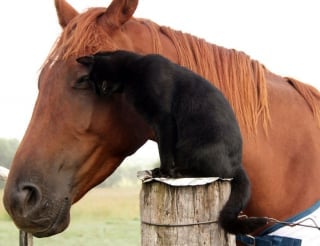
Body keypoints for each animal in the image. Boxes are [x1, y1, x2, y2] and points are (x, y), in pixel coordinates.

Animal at [77, 50, 268, 234]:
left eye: (101, 82)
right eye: (95, 86)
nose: (101, 92)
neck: (133, 72)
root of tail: (237, 165)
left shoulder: (164, 119)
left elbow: (165, 150)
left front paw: (163, 172)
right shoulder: (155, 123)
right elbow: (163, 147)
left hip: (198, 149)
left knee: (214, 173)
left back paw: (178, 173)